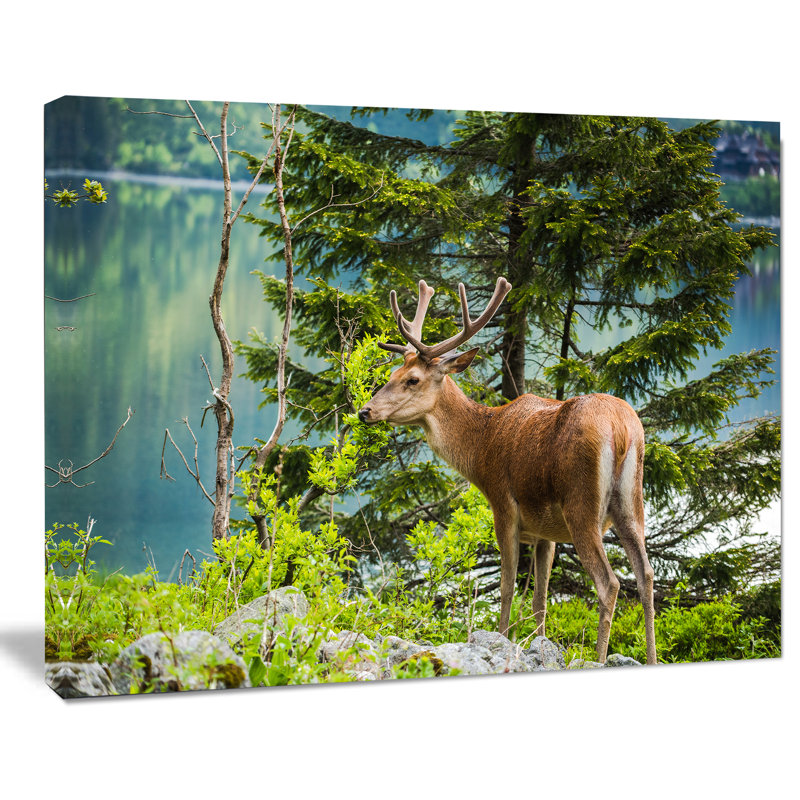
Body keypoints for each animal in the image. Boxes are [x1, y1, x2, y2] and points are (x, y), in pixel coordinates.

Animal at [357, 277, 657, 665]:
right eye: (392, 373)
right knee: (646, 574)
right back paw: (651, 658)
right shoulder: (546, 533)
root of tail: (621, 430)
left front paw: (500, 640)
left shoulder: (503, 504)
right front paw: (540, 646)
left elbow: (507, 587)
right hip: (631, 502)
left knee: (610, 583)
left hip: (582, 504)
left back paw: (600, 657)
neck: (480, 448)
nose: (365, 410)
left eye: (412, 379)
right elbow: (540, 598)